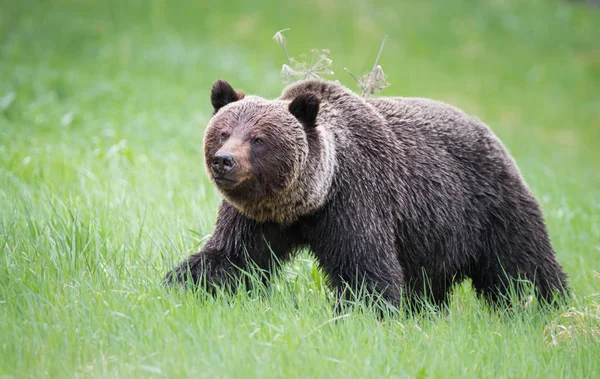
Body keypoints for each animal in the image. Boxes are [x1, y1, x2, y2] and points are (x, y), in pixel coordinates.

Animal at [164, 78, 568, 310]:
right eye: (223, 132)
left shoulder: (356, 197)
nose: (224, 160)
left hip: (489, 208)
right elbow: (231, 255)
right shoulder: (256, 217)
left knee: (523, 267)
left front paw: (363, 312)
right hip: (434, 239)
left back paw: (547, 306)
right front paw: (180, 284)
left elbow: (364, 267)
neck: (306, 202)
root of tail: (492, 134)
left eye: (259, 139)